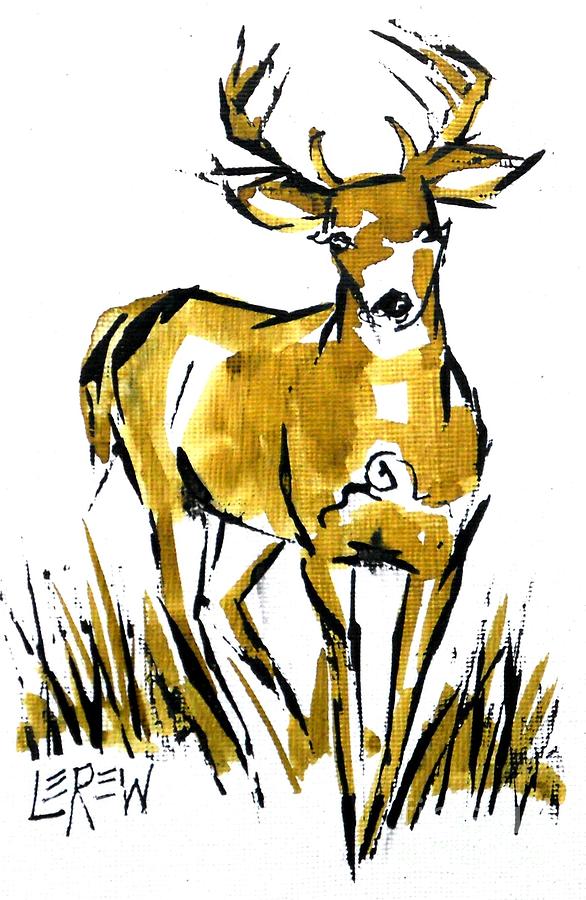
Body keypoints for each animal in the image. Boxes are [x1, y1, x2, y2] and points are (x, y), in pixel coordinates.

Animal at [79, 23, 543, 871]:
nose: (391, 303)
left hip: (254, 518)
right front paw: (351, 829)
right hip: (167, 484)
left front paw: (379, 829)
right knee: (177, 601)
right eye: (337, 235)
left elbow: (402, 690)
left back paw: (285, 743)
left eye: (433, 230)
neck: (393, 456)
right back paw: (242, 762)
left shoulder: (447, 547)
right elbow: (350, 680)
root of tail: (131, 315)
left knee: (224, 598)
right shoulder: (325, 544)